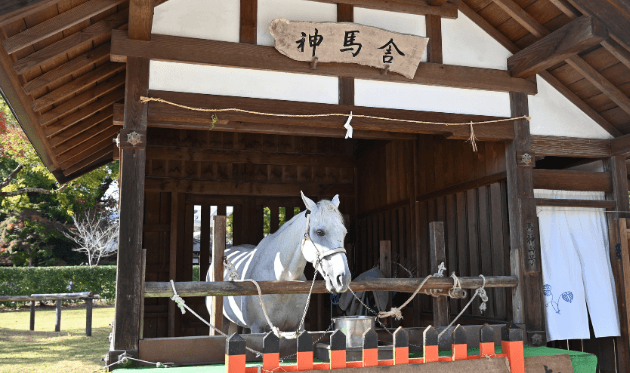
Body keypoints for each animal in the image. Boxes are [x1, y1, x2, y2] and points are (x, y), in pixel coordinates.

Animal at [210, 192, 354, 332]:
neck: (281, 280)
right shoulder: (258, 328)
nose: (343, 278)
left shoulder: (297, 327)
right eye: (319, 232)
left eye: (345, 233)